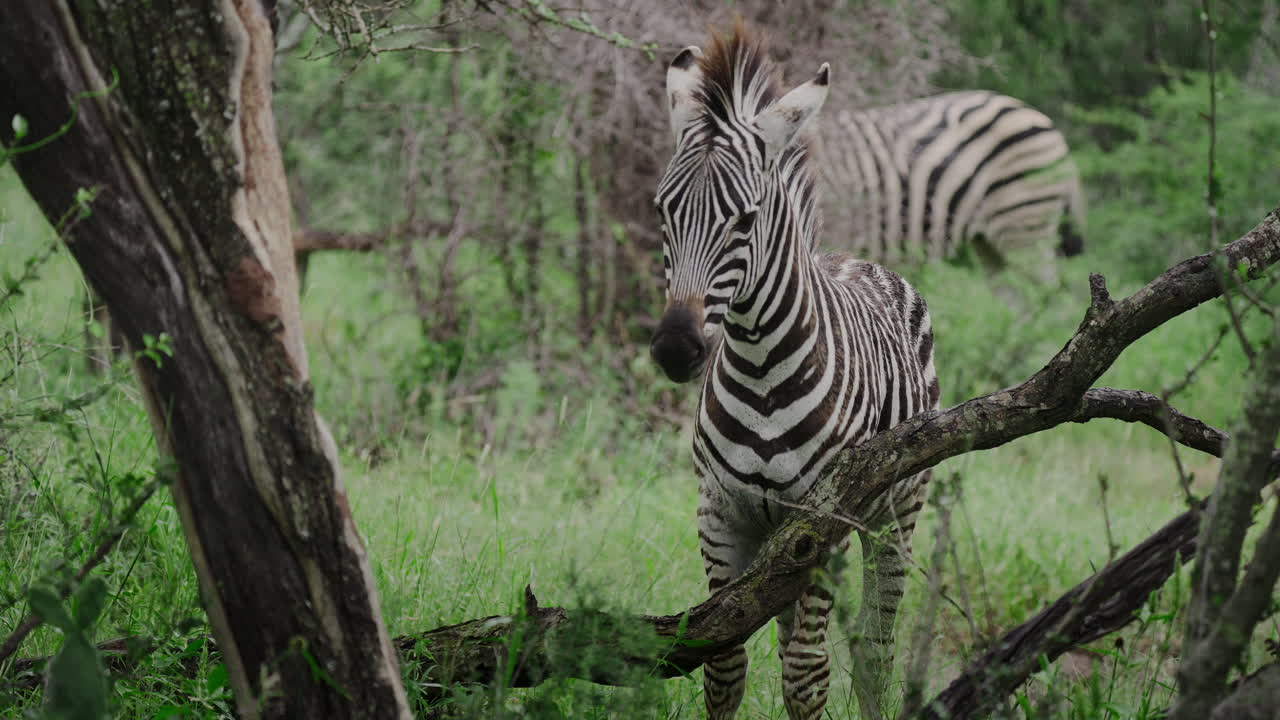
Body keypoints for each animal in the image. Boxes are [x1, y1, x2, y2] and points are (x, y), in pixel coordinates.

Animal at [649, 23, 940, 720]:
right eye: (662, 211)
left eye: (745, 220)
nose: (675, 349)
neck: (759, 367)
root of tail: (855, 258)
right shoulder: (720, 511)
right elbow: (722, 660)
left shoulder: (819, 523)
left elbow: (807, 673)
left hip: (897, 512)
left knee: (875, 650)